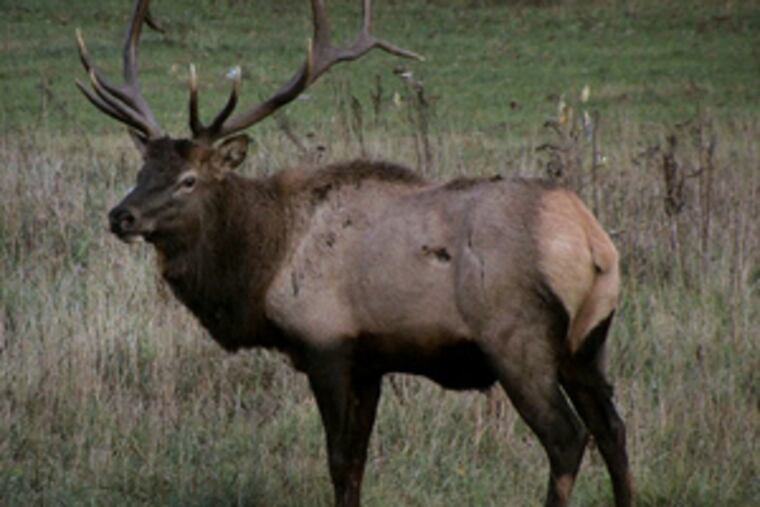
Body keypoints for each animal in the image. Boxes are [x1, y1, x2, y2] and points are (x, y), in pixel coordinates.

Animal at [75, 1, 633, 506]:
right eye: (143, 170)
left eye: (188, 179)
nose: (121, 216)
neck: (264, 266)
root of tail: (591, 240)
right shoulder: (371, 360)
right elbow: (361, 461)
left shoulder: (326, 341)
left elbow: (340, 462)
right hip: (588, 342)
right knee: (613, 430)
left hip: (518, 339)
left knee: (566, 439)